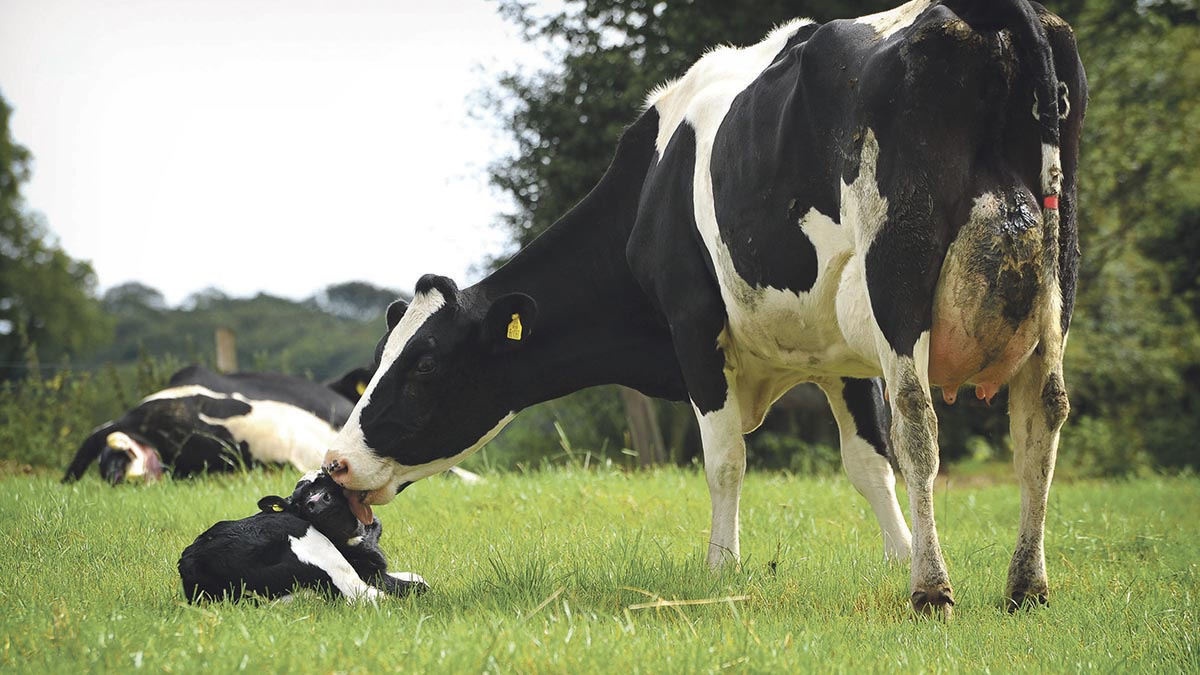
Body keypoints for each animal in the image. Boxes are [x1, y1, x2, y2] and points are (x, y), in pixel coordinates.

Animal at [178, 470, 428, 603]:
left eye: (331, 483)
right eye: (299, 501)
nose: (315, 501)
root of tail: (192, 559)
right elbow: (417, 583)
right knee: (370, 597)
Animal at [323, 0, 1086, 616]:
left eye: (423, 366)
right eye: (377, 363)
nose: (335, 464)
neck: (646, 191)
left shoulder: (695, 326)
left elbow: (724, 459)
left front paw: (722, 569)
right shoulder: (833, 351)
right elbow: (868, 462)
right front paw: (896, 555)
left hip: (898, 276)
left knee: (921, 424)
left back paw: (933, 589)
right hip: (1055, 276)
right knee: (1041, 418)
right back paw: (1026, 587)